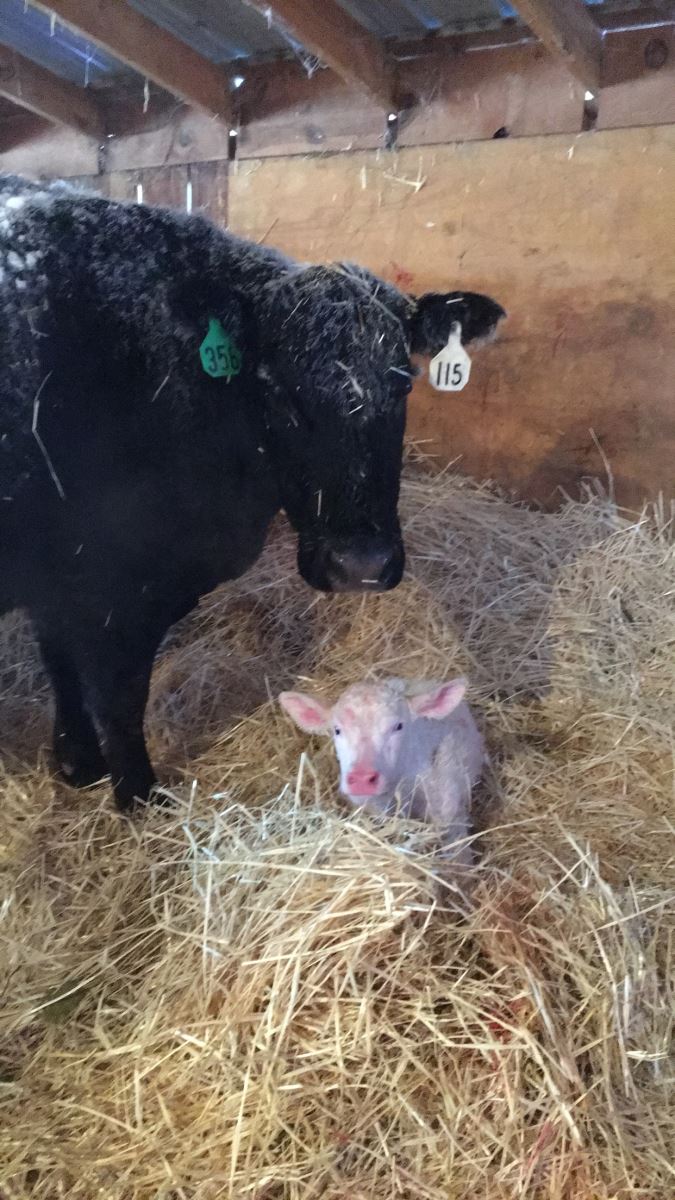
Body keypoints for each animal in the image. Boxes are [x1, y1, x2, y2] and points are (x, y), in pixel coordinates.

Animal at [0, 174, 504, 811]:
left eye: (404, 383)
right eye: (276, 388)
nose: (361, 565)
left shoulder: (60, 580)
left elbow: (61, 667)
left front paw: (78, 764)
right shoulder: (113, 587)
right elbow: (118, 698)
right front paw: (140, 799)